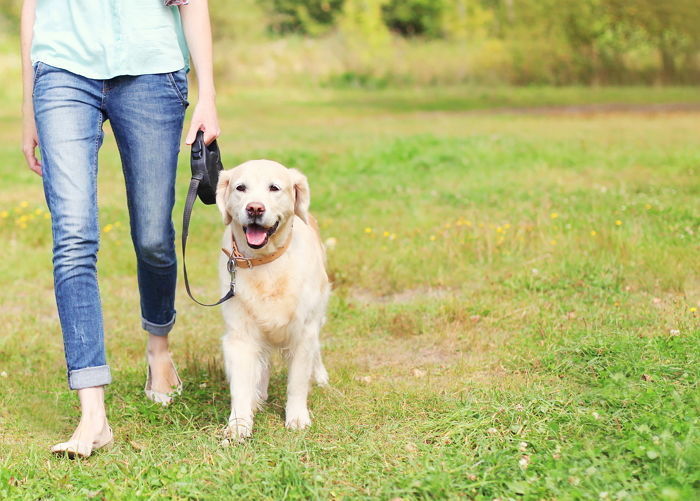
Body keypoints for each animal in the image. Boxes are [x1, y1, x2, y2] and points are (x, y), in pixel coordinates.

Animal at [215, 158, 332, 440]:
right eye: (241, 188)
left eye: (274, 188)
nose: (255, 208)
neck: (265, 262)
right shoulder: (239, 335)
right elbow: (240, 385)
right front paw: (239, 424)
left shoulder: (304, 331)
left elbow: (297, 383)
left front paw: (297, 418)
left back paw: (320, 376)